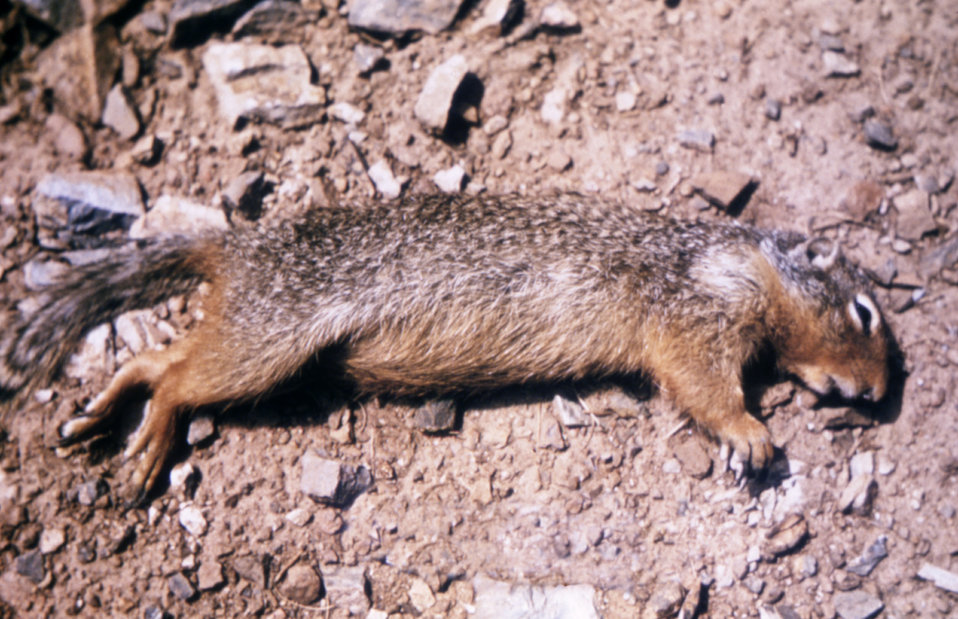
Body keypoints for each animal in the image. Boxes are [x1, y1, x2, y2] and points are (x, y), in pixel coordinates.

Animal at [0, 192, 891, 501]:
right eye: (864, 312)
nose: (883, 393)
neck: (750, 265)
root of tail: (242, 246)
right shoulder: (695, 313)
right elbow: (703, 384)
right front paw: (749, 434)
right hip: (269, 339)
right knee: (178, 378)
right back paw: (144, 448)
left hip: (257, 343)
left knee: (158, 360)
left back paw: (96, 418)